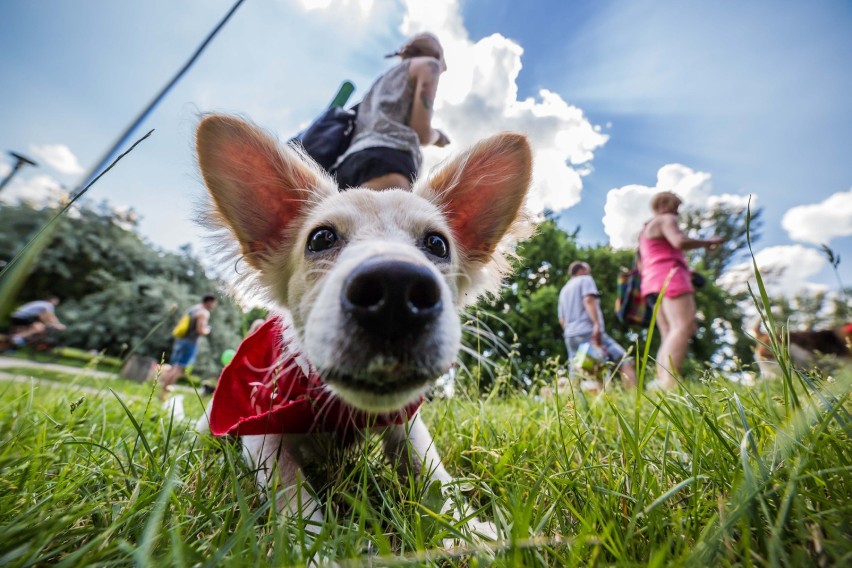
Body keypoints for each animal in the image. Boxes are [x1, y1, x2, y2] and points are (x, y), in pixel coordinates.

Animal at [193, 114, 532, 556]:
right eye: (320, 238)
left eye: (437, 244)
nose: (395, 290)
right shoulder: (260, 433)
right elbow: (291, 492)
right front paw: (315, 551)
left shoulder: (409, 425)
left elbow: (436, 474)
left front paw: (471, 529)